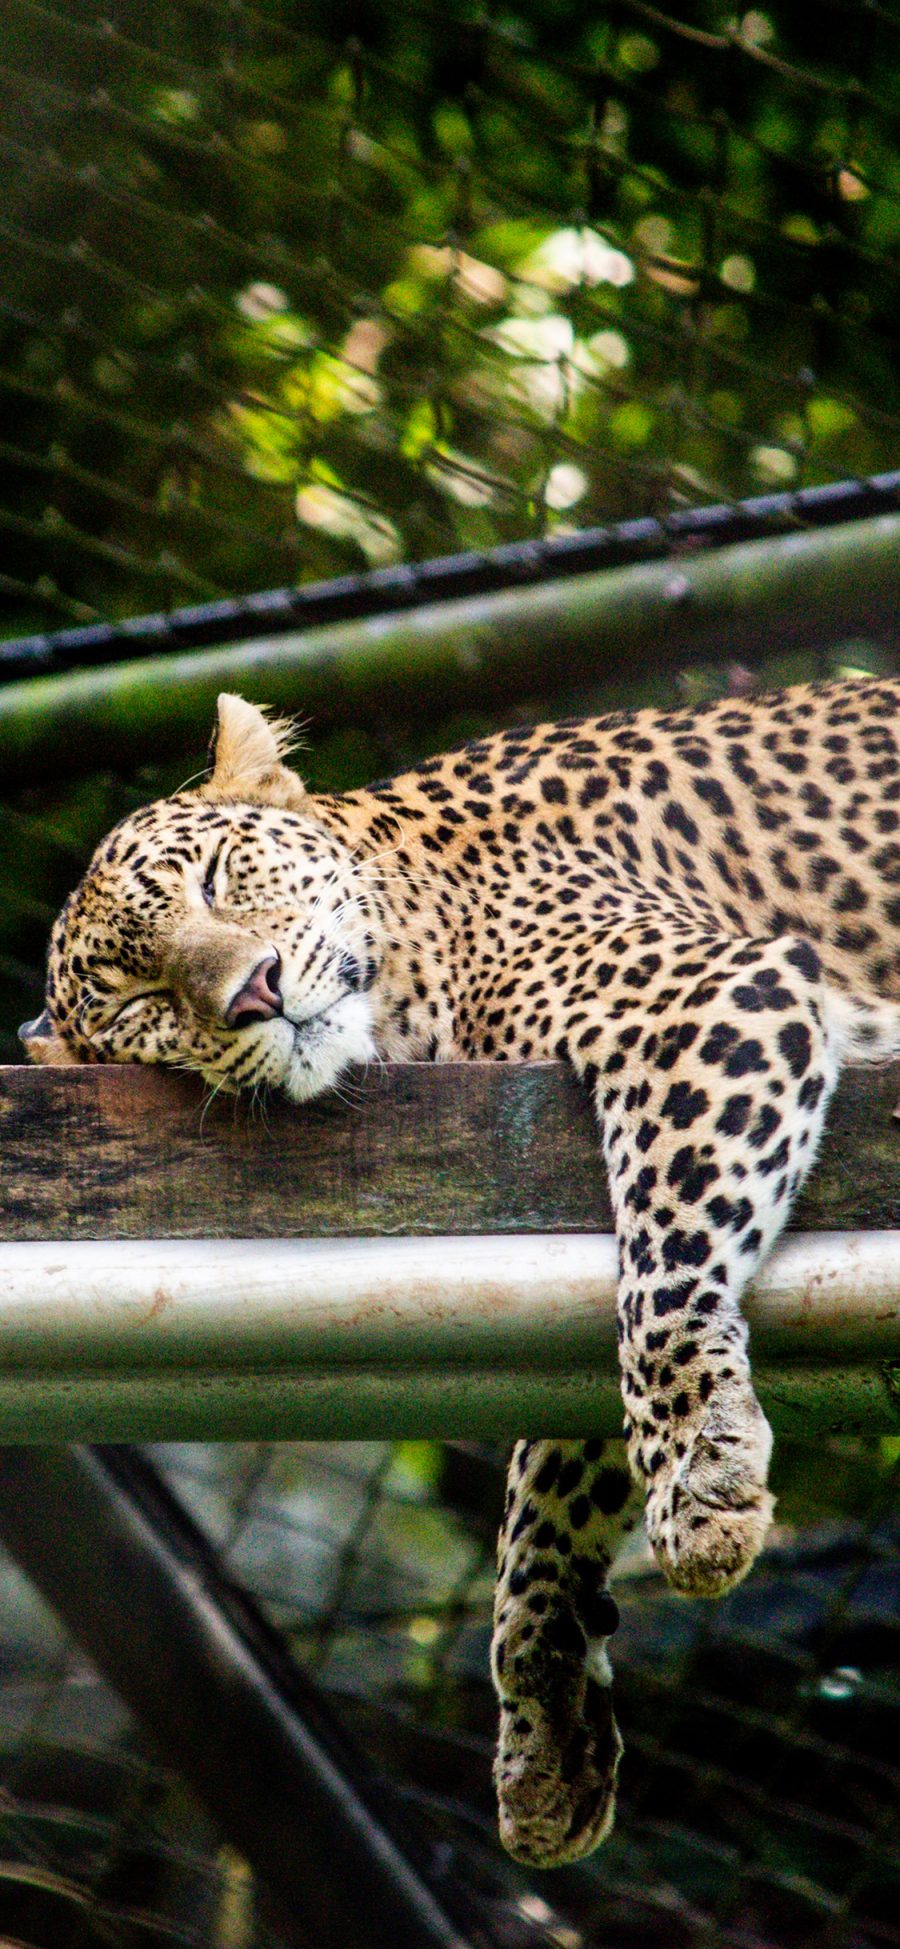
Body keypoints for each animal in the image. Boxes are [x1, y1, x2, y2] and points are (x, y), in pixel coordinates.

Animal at [21, 674, 900, 1871]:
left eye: (215, 874)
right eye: (135, 996)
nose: (254, 992)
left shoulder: (709, 995)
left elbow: (663, 1269)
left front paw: (700, 1473)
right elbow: (552, 1467)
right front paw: (544, 1716)